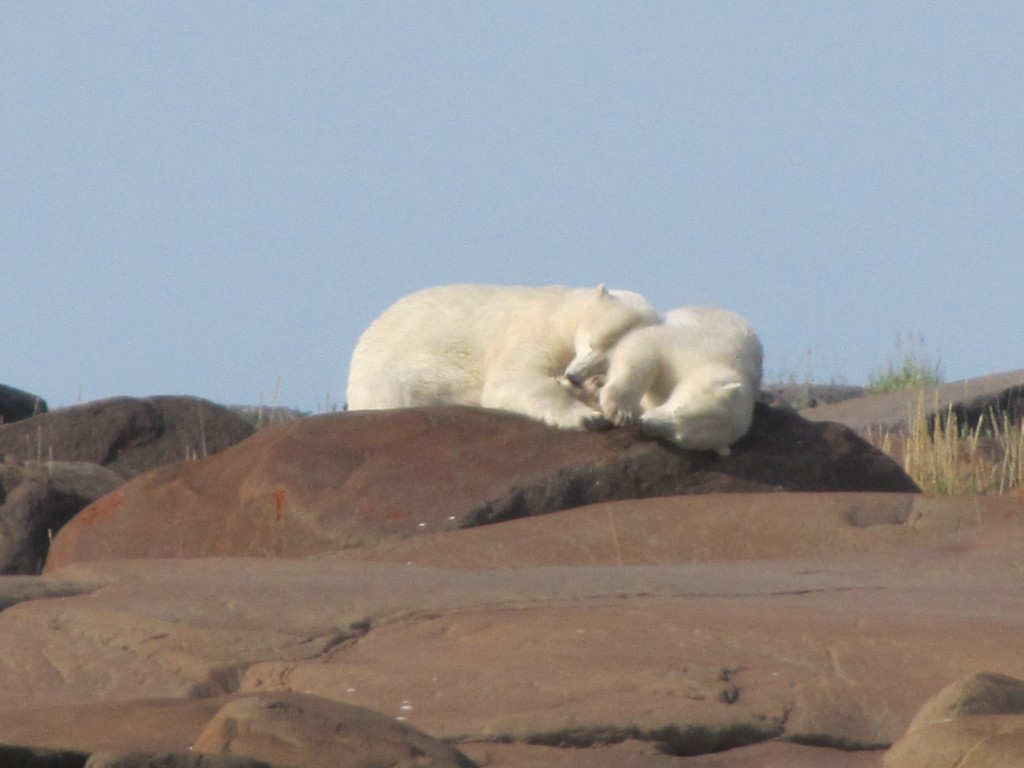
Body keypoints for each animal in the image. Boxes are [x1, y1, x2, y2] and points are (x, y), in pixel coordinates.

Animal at [348, 282, 659, 430]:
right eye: (590, 342)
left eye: (608, 360)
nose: (574, 376)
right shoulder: (538, 329)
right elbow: (514, 379)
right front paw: (585, 416)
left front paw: (613, 403)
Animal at [598, 303, 761, 454]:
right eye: (678, 409)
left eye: (676, 436)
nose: (643, 425)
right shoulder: (701, 345)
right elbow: (644, 345)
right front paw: (618, 409)